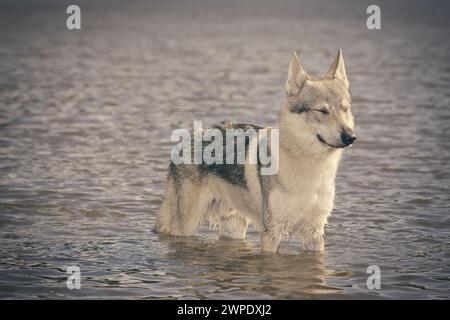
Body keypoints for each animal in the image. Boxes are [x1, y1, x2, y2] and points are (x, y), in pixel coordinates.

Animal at [155, 48, 356, 252]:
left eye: (345, 109)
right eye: (322, 111)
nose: (350, 137)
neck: (310, 165)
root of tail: (186, 138)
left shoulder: (314, 232)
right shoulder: (272, 233)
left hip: (234, 227)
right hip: (186, 226)